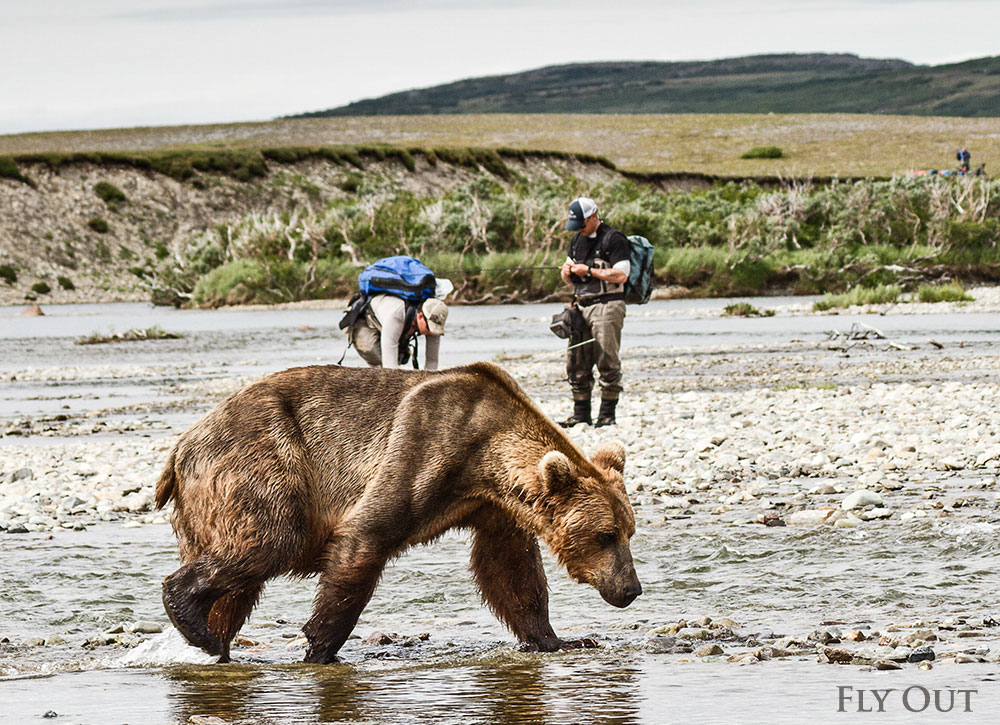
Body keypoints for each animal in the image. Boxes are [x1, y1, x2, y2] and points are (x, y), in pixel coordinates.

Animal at [156, 362, 640, 660]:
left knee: (238, 583)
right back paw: (193, 620)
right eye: (604, 535)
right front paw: (321, 647)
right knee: (270, 539)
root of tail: (181, 445)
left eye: (628, 532)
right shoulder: (423, 447)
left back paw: (214, 640)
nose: (631, 589)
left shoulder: (493, 509)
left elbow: (511, 570)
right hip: (263, 459)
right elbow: (363, 540)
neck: (485, 457)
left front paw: (562, 639)